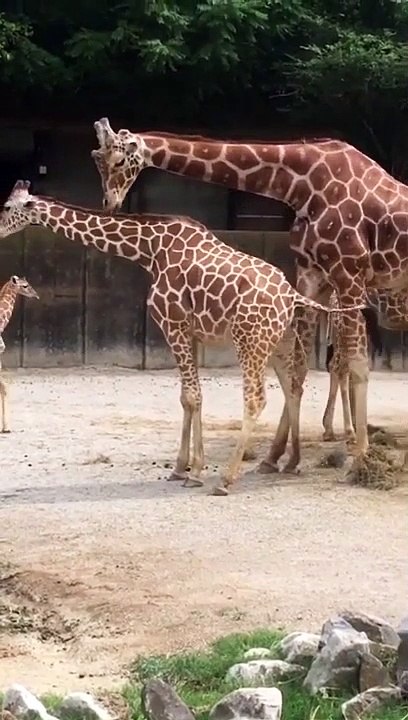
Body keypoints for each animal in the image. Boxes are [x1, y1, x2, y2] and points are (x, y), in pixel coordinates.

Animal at [0, 180, 364, 495]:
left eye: (5, 206)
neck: (149, 250)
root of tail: (291, 295)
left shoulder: (171, 324)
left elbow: (191, 396)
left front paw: (196, 471)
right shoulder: (190, 332)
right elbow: (188, 398)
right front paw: (180, 468)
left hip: (249, 342)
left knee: (256, 399)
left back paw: (227, 479)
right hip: (280, 342)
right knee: (293, 385)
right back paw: (289, 462)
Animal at [322, 288, 408, 442]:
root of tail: (333, 297)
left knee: (337, 367)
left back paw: (331, 430)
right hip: (347, 328)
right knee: (339, 369)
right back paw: (349, 431)